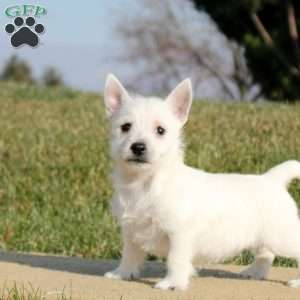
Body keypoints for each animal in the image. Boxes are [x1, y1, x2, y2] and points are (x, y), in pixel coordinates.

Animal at [102, 73, 300, 290]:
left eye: (160, 130)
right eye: (125, 127)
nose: (138, 147)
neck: (145, 182)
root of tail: (272, 178)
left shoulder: (178, 234)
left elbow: (175, 260)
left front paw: (172, 283)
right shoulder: (131, 230)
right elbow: (129, 253)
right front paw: (122, 273)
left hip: (283, 236)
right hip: (266, 237)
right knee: (266, 253)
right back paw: (255, 272)